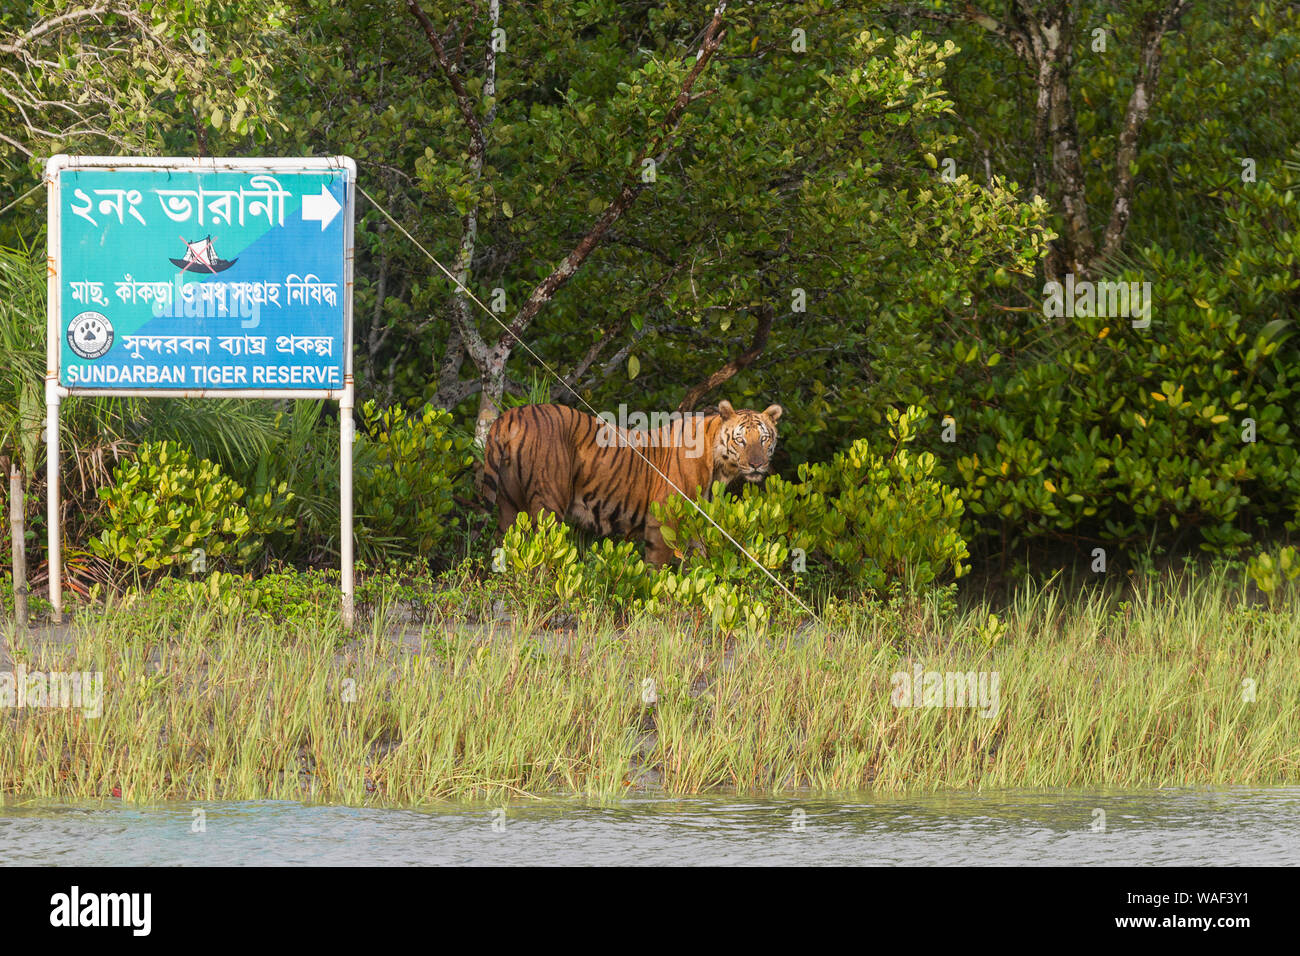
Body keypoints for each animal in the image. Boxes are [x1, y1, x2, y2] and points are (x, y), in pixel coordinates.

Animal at [480, 400, 783, 565]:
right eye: (740, 439)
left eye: (764, 439)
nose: (757, 464)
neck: (719, 469)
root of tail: (512, 415)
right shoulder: (663, 519)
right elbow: (658, 567)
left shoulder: (696, 521)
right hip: (548, 504)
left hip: (509, 505)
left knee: (504, 546)